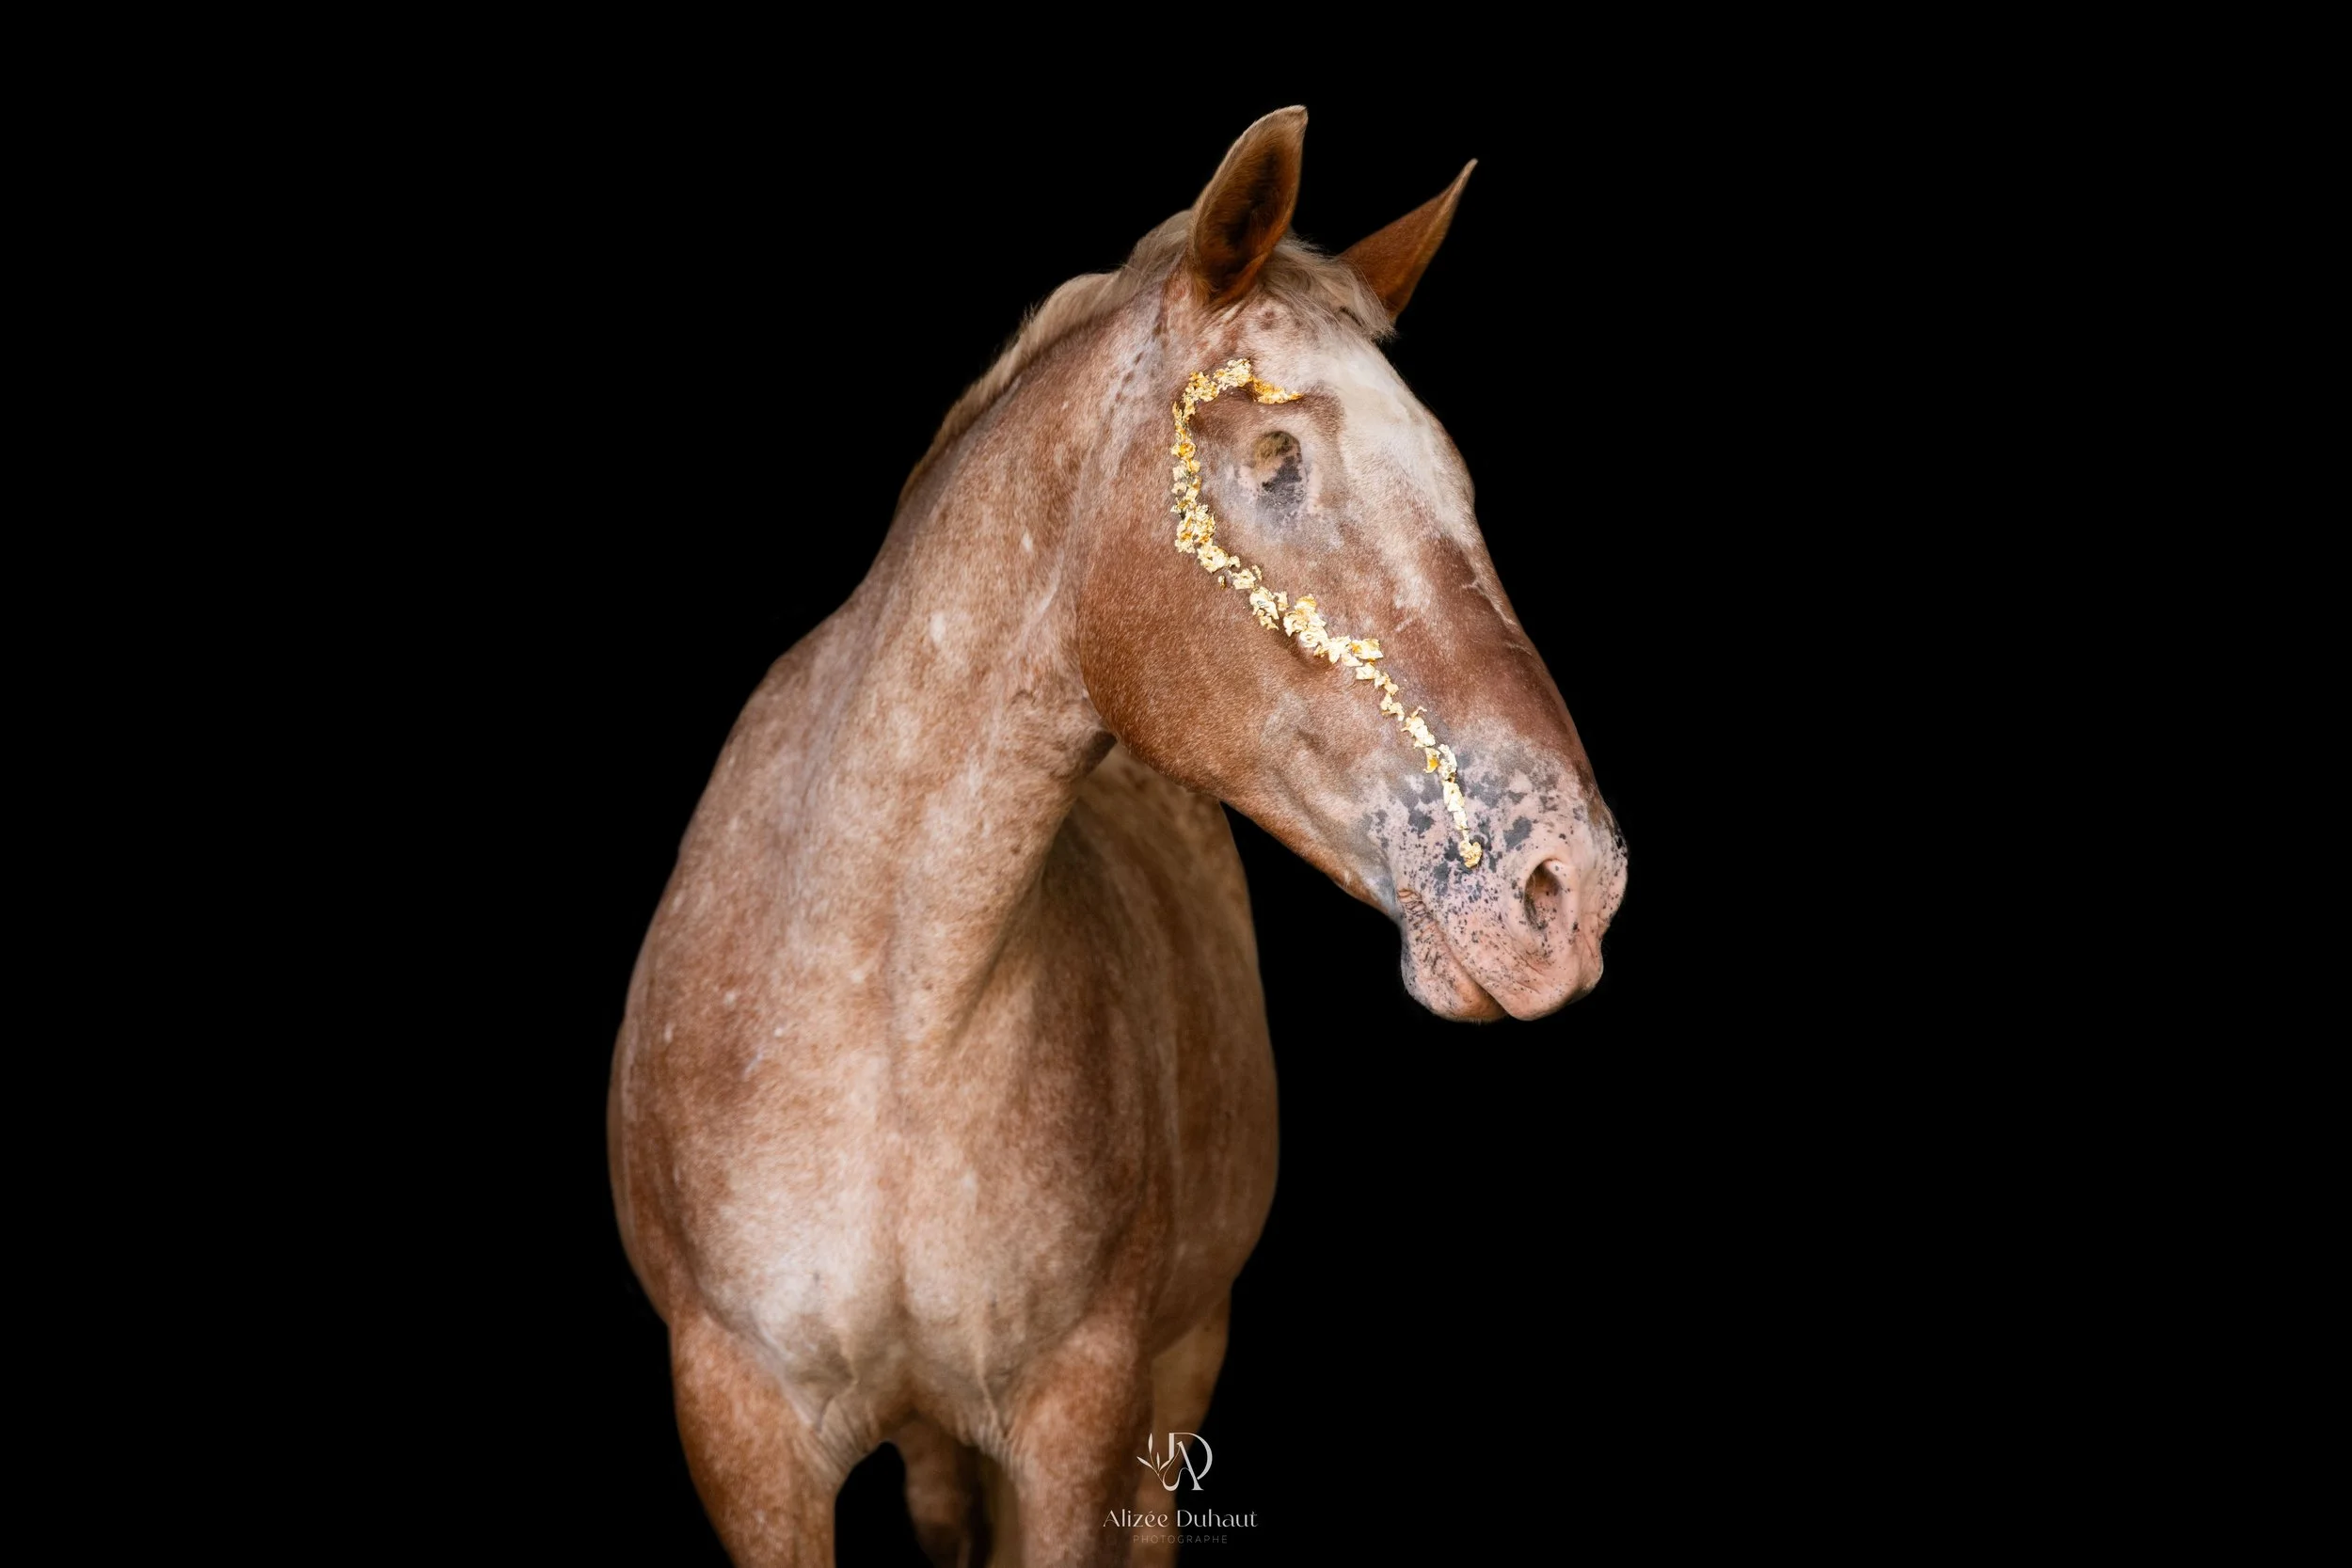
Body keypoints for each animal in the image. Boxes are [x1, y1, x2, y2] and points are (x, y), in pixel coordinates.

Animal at [607, 106, 1628, 1567]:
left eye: (1460, 483)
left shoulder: (1079, 1419)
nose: (1571, 884)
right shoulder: (743, 1431)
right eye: (1274, 462)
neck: (884, 1030)